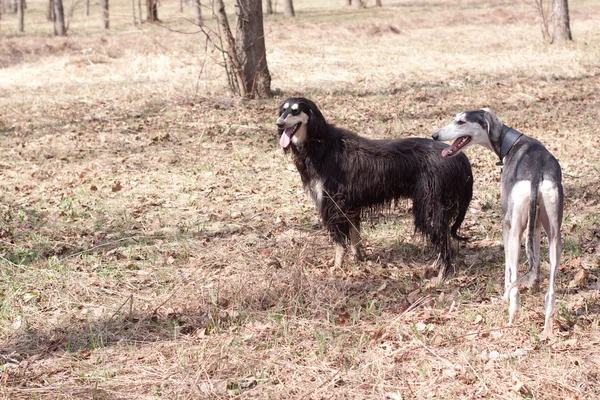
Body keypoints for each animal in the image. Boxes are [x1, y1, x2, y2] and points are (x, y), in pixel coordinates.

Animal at [276, 97, 474, 278]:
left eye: (295, 111)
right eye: (283, 110)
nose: (279, 123)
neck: (320, 144)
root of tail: (460, 157)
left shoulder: (333, 204)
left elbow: (339, 242)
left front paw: (336, 267)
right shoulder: (350, 206)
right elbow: (355, 237)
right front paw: (358, 259)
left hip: (429, 206)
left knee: (444, 241)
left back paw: (441, 274)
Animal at [432, 108, 564, 336]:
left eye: (461, 122)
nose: (435, 136)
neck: (510, 143)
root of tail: (537, 173)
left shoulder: (506, 226)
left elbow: (508, 270)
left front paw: (505, 293)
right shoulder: (537, 225)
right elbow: (535, 259)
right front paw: (534, 283)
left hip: (515, 232)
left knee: (513, 278)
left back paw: (512, 309)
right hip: (555, 237)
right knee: (551, 292)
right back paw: (547, 328)